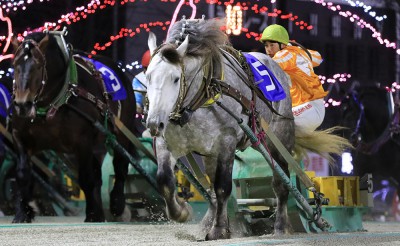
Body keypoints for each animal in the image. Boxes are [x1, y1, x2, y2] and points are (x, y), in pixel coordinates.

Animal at [11, 30, 139, 223]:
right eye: (15, 64)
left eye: (38, 66)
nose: (22, 105)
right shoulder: (21, 136)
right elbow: (22, 174)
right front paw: (22, 213)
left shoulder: (82, 141)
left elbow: (86, 177)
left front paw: (93, 213)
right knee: (98, 173)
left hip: (122, 132)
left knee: (120, 165)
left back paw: (117, 203)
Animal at [145, 18, 346, 240]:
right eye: (148, 76)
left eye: (175, 78)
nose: (154, 123)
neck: (201, 97)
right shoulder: (167, 142)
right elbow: (165, 181)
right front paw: (182, 212)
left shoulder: (227, 141)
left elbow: (223, 187)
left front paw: (218, 229)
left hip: (277, 138)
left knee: (281, 182)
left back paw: (282, 225)